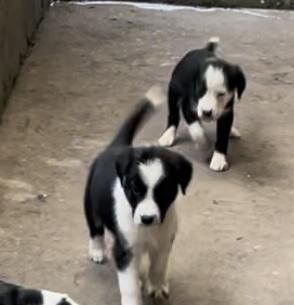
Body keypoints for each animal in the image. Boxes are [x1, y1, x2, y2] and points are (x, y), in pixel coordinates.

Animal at [84, 85, 193, 304]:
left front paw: (156, 287)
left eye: (165, 190)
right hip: (90, 205)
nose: (147, 218)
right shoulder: (125, 251)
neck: (148, 231)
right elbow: (129, 284)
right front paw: (134, 299)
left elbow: (158, 268)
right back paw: (97, 251)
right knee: (95, 229)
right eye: (135, 189)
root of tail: (115, 146)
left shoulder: (163, 244)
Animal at [158, 36, 246, 171]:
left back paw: (232, 131)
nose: (206, 112)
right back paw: (168, 135)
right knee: (173, 116)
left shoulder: (226, 112)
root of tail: (203, 49)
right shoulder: (188, 106)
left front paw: (219, 158)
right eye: (200, 91)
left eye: (221, 94)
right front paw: (205, 145)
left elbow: (222, 136)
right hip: (174, 92)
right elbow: (197, 130)